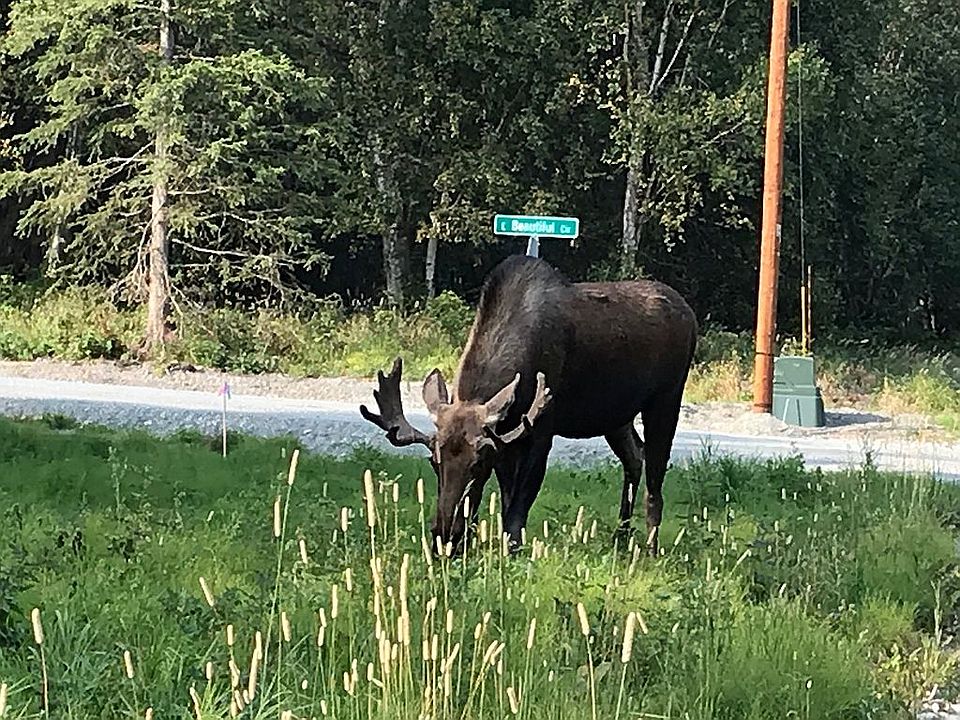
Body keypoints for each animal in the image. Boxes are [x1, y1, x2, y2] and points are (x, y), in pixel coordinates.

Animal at [360, 254, 697, 556]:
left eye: (477, 463)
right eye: (434, 461)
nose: (444, 535)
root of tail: (689, 313)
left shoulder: (540, 431)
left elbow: (519, 506)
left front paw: (513, 552)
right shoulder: (505, 438)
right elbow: (507, 499)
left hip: (666, 398)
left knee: (655, 475)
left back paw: (650, 548)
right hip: (615, 416)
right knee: (634, 457)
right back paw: (621, 536)